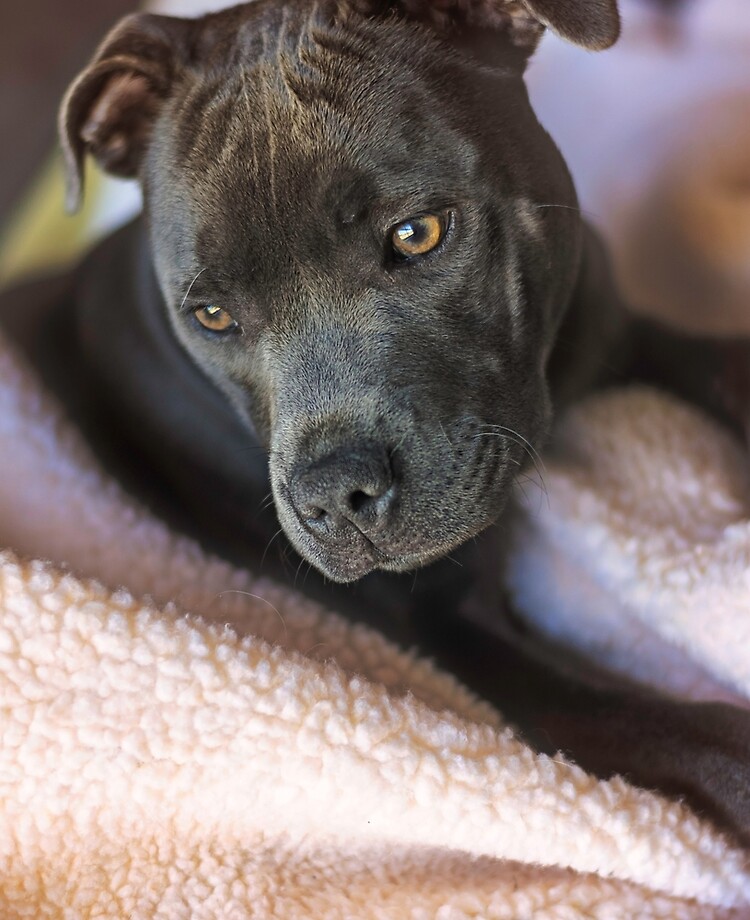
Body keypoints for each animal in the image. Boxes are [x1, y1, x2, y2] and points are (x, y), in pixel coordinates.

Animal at [2, 0, 748, 848]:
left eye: (417, 234)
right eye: (212, 316)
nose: (335, 496)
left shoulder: (615, 333)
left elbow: (731, 365)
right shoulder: (451, 628)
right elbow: (683, 731)